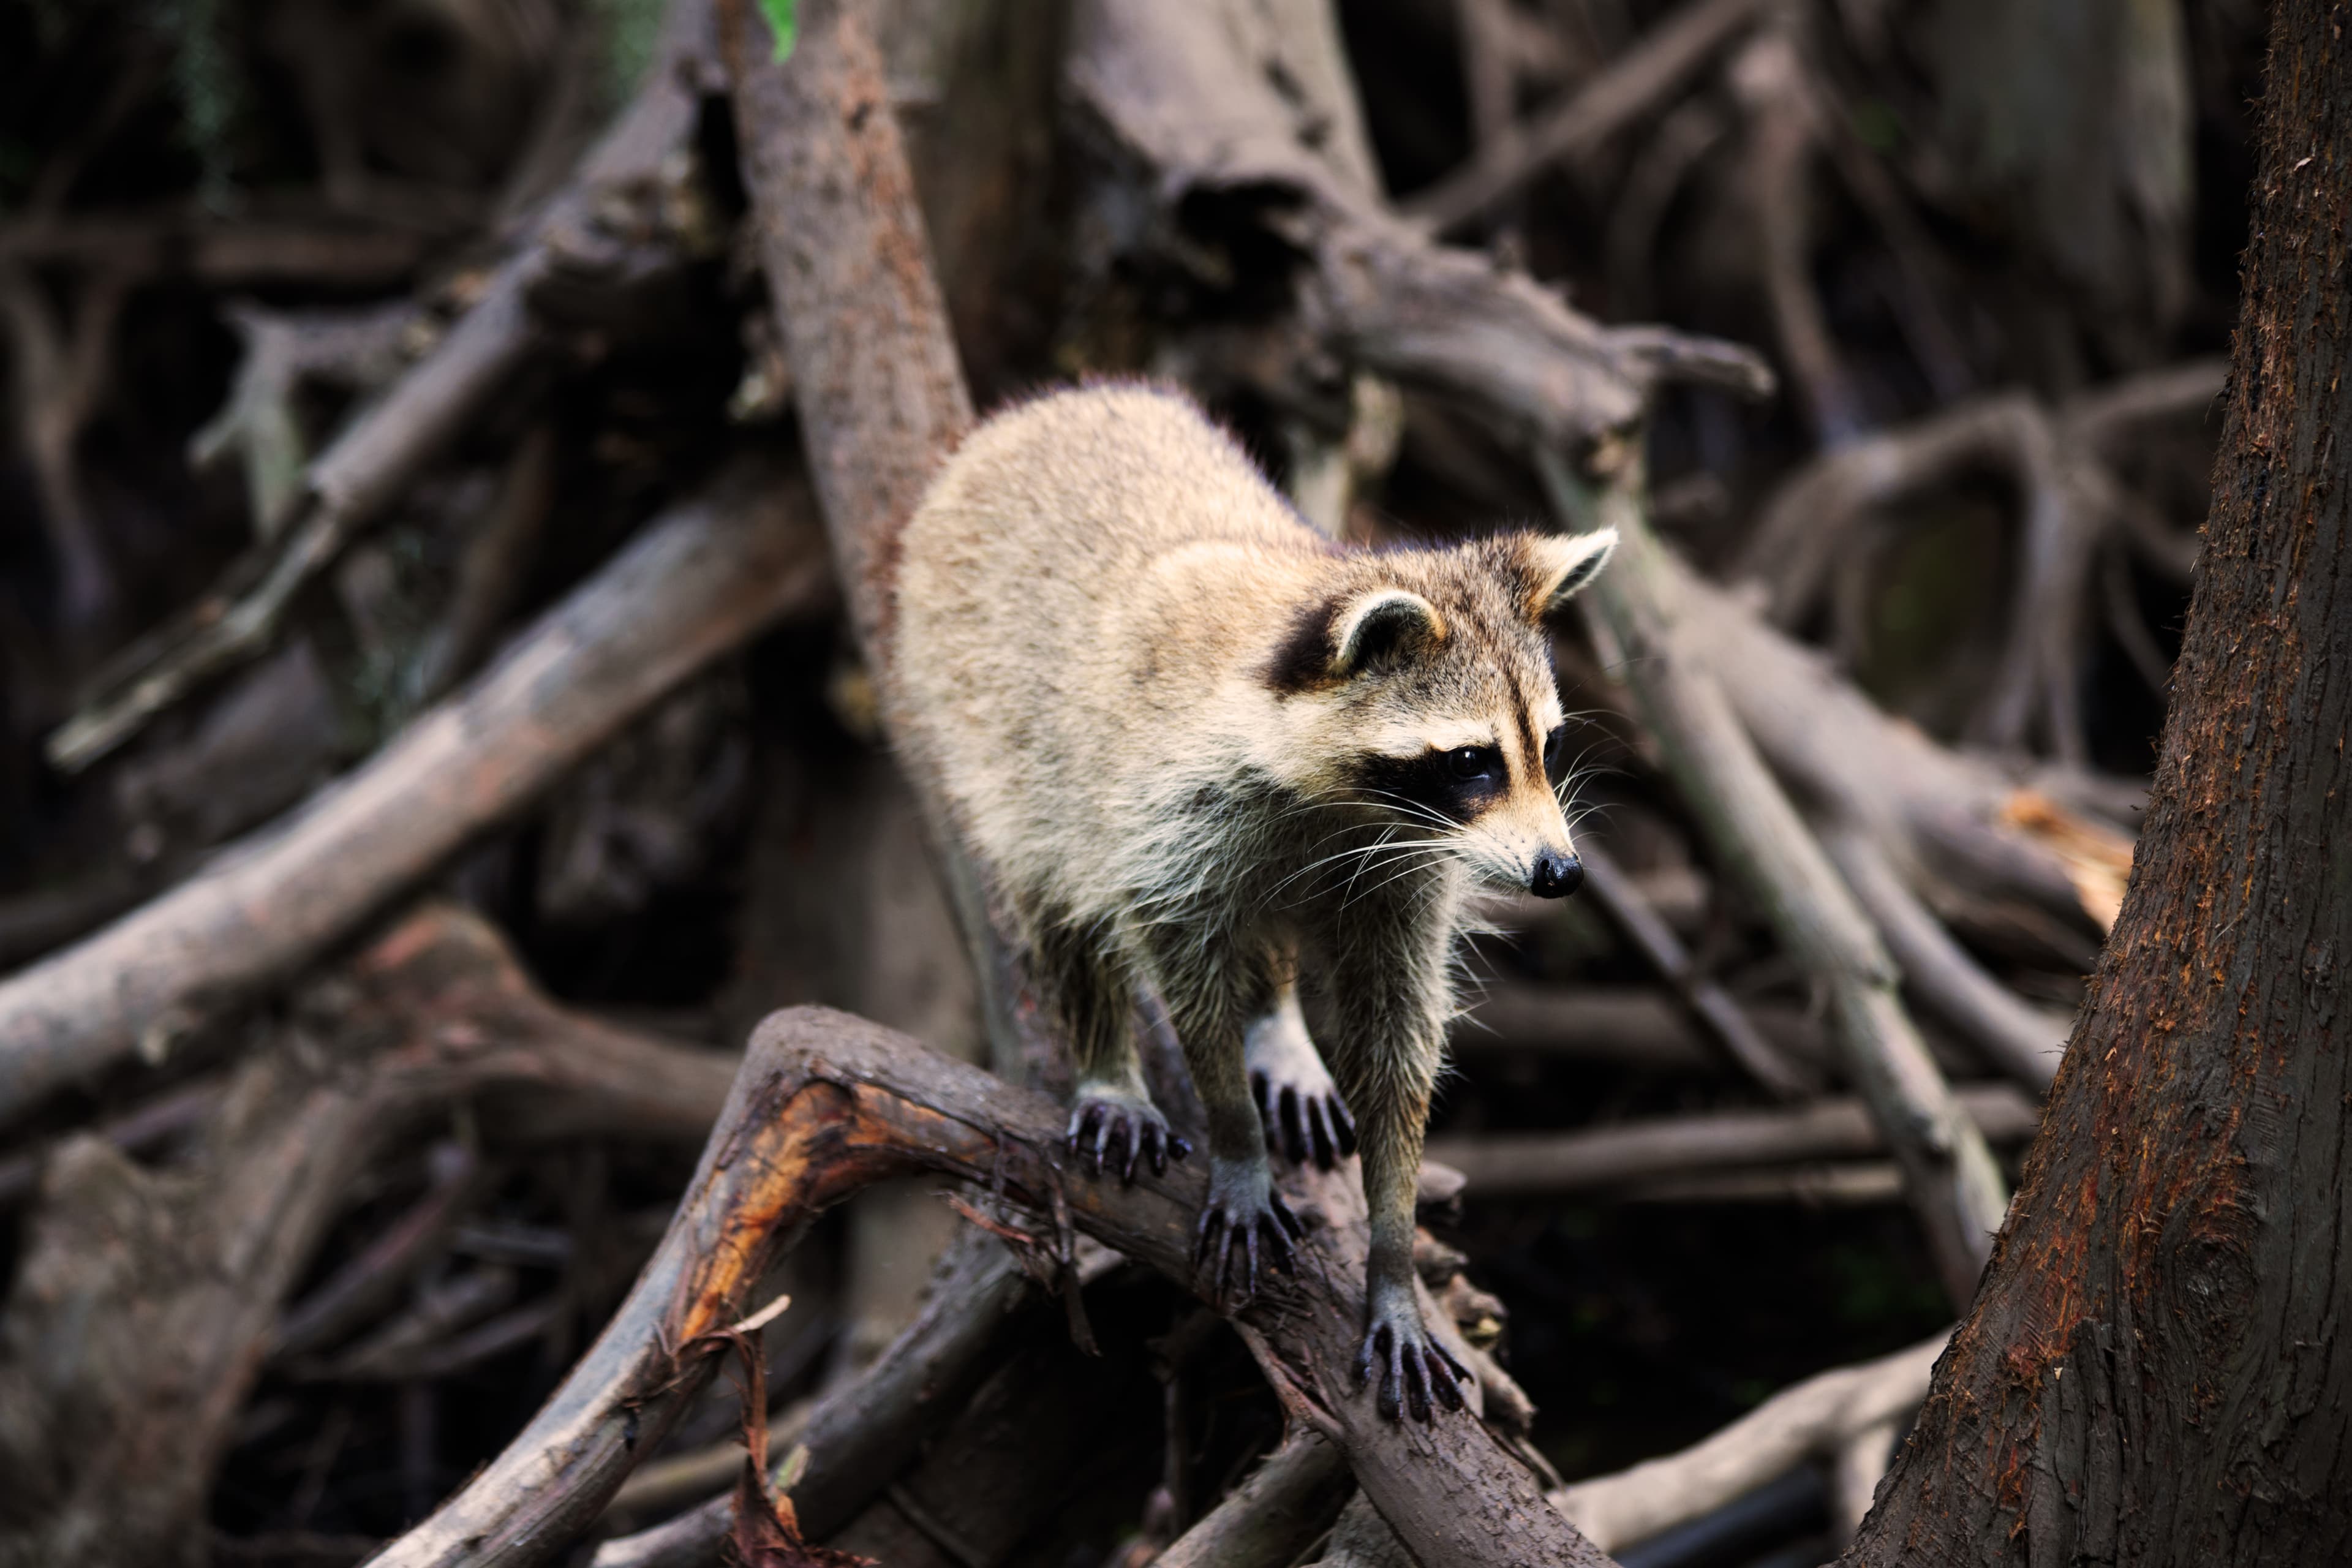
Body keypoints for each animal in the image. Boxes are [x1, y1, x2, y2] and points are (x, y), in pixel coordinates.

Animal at [884, 390, 1618, 1420]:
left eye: (1545, 748)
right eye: (1472, 761)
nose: (1561, 874)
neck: (1344, 803)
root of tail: (1042, 411)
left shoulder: (1399, 874)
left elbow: (1396, 1035)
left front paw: (1394, 1256)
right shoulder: (1169, 817)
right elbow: (1185, 982)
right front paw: (1235, 1141)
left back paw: (1276, 1023)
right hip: (975, 704)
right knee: (1052, 882)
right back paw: (1105, 1057)